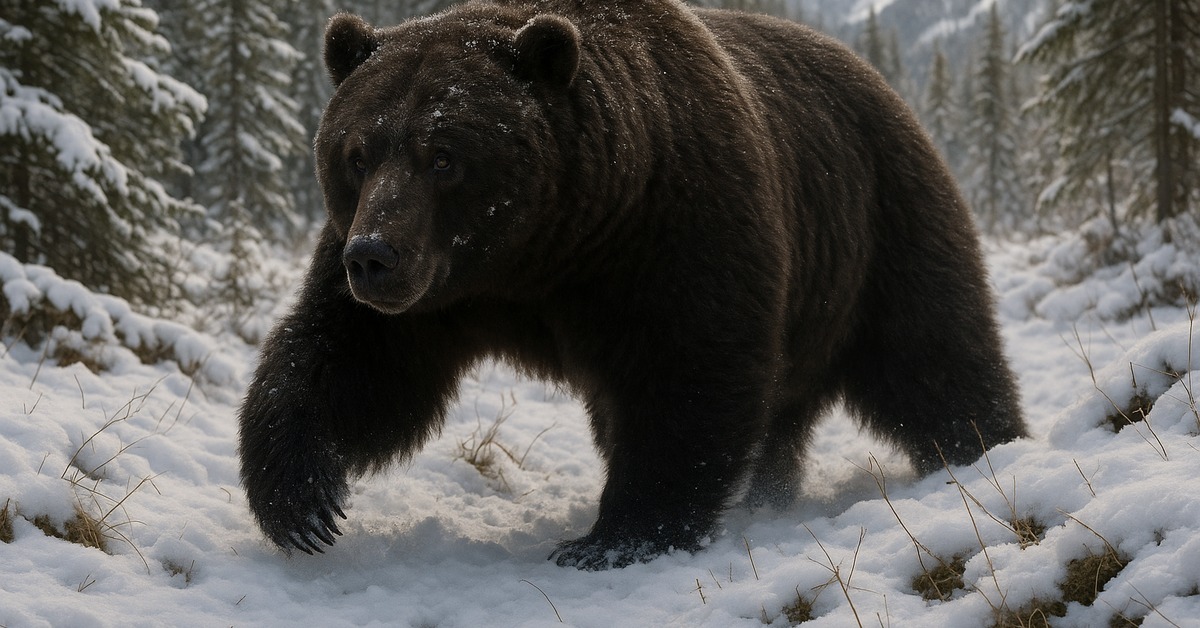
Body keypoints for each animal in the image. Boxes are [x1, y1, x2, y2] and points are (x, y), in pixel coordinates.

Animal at [237, 0, 1026, 570]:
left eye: (444, 156)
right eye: (357, 152)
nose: (373, 256)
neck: (539, 253)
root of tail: (884, 86)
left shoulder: (669, 234)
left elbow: (684, 375)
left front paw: (614, 537)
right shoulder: (437, 293)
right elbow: (355, 361)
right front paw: (303, 502)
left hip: (879, 225)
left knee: (936, 358)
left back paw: (988, 451)